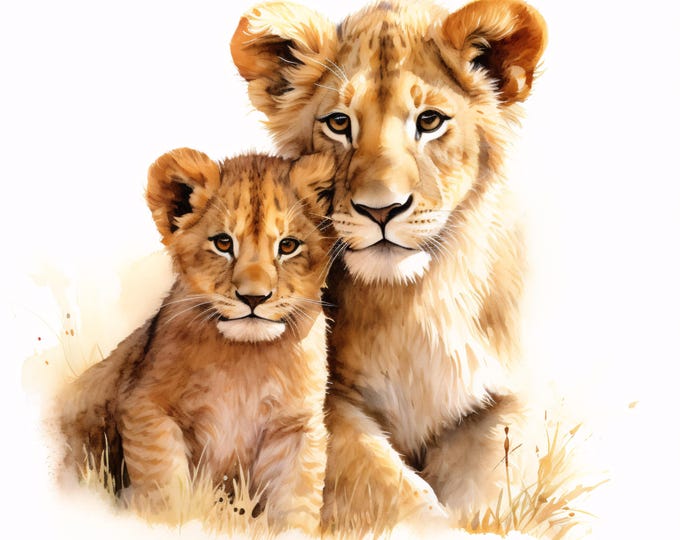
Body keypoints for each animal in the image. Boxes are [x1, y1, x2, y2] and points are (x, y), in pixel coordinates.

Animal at [58, 148, 335, 534]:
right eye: (223, 243)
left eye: (288, 246)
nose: (254, 297)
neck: (245, 360)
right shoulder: (146, 407)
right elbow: (166, 490)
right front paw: (172, 522)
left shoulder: (295, 427)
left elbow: (296, 504)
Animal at [231, 0, 547, 530]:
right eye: (339, 124)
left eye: (430, 120)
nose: (381, 210)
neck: (411, 306)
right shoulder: (319, 407)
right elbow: (394, 490)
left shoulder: (501, 400)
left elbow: (491, 486)